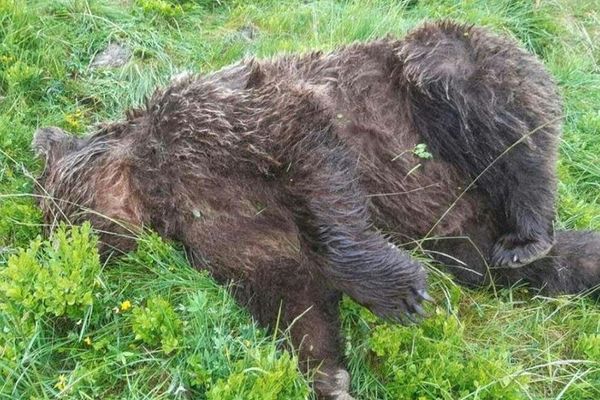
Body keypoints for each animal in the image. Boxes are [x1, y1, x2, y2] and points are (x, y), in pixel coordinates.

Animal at [32, 21, 600, 400]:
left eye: (53, 209)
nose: (58, 246)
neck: (156, 186)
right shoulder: (219, 226)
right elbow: (287, 290)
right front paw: (328, 376)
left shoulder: (226, 120)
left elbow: (311, 164)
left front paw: (401, 294)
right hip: (462, 237)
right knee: (529, 263)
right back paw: (546, 258)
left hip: (439, 81)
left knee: (497, 121)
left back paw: (527, 231)